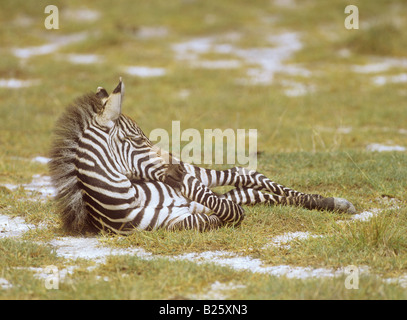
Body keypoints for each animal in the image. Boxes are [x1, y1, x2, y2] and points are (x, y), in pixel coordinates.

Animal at [47, 79, 356, 235]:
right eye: (138, 141)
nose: (176, 168)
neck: (128, 198)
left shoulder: (188, 185)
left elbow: (228, 207)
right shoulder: (177, 223)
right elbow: (225, 212)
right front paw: (212, 213)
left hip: (202, 173)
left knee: (244, 174)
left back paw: (332, 202)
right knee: (243, 192)